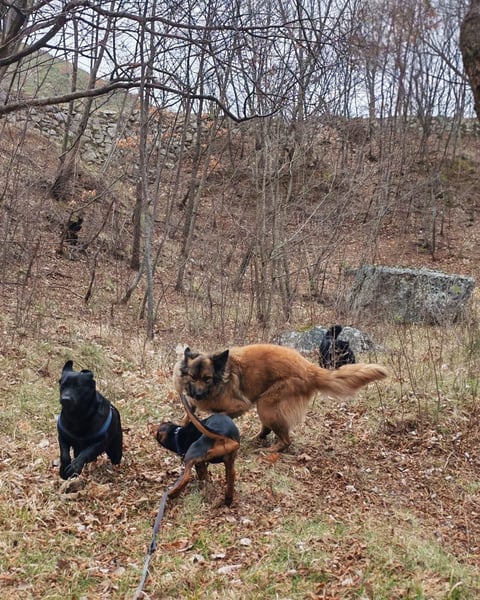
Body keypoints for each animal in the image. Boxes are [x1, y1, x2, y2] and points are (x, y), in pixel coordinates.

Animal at [174, 344, 388, 452]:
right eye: (192, 377)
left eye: (207, 378)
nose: (197, 394)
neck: (220, 380)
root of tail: (309, 369)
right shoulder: (191, 402)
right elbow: (188, 415)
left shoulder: (239, 405)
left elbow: (215, 416)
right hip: (266, 405)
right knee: (269, 429)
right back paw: (257, 439)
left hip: (266, 404)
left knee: (286, 440)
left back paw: (269, 451)